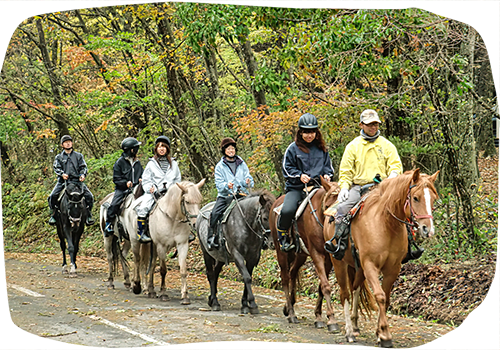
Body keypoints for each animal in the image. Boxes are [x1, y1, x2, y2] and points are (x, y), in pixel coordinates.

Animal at [270, 178, 340, 330]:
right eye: (327, 206)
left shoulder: (328, 258)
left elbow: (321, 286)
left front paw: (319, 316)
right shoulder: (316, 254)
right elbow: (325, 286)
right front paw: (332, 320)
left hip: (301, 255)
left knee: (292, 272)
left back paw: (288, 307)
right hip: (281, 252)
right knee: (285, 277)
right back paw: (291, 314)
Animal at [324, 168, 438, 348]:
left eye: (433, 198)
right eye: (415, 197)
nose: (428, 229)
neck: (386, 224)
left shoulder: (393, 269)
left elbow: (386, 298)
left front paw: (380, 333)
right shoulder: (370, 265)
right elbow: (380, 296)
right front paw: (384, 335)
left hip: (358, 268)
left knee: (356, 288)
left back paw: (355, 326)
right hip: (338, 263)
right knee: (345, 294)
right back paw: (349, 332)